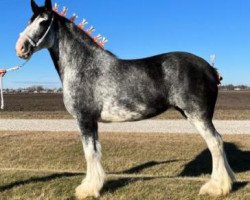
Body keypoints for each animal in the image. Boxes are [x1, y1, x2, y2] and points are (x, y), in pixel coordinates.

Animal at [15, 0, 234, 198]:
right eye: (29, 21)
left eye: (43, 22)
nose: (20, 48)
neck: (84, 65)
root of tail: (210, 68)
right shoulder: (92, 122)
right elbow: (95, 151)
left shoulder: (85, 119)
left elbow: (89, 152)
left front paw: (88, 190)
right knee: (219, 141)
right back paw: (228, 181)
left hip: (198, 115)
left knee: (215, 142)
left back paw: (216, 188)